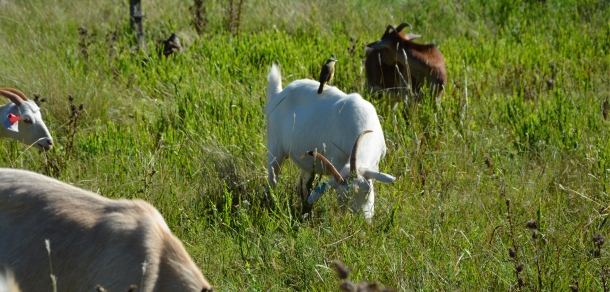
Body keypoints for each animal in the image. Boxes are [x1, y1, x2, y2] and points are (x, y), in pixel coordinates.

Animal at [264, 64, 394, 219]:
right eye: (341, 199)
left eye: (368, 191)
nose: (363, 221)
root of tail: (278, 94)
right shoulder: (336, 162)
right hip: (275, 148)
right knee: (272, 180)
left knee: (300, 186)